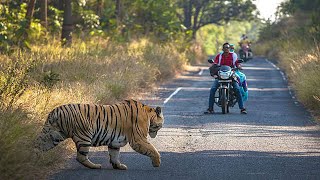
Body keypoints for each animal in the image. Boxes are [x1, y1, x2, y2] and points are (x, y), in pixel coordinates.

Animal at [34, 99, 164, 169]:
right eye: (160, 125)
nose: (155, 134)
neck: (148, 114)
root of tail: (55, 111)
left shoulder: (115, 142)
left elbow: (114, 155)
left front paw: (119, 166)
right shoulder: (138, 139)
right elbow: (152, 149)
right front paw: (157, 163)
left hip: (53, 135)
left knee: (38, 145)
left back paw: (34, 158)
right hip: (84, 136)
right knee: (80, 157)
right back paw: (96, 166)